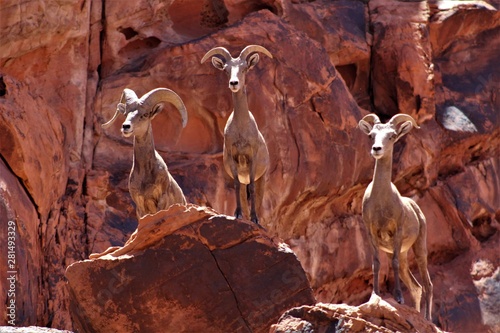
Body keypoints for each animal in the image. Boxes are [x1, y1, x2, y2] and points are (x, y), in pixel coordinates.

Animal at [101, 87, 188, 219]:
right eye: (126, 114)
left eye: (145, 115)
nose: (126, 126)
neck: (145, 174)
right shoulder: (140, 206)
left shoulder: (162, 200)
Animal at [200, 44, 274, 223]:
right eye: (226, 70)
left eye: (244, 68)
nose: (234, 83)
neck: (241, 130)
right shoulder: (233, 160)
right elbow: (235, 185)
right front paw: (237, 214)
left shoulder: (252, 159)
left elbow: (252, 188)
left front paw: (254, 219)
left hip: (262, 179)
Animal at [360, 113, 434, 320]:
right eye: (371, 135)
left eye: (392, 136)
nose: (376, 149)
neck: (381, 202)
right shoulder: (371, 232)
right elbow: (376, 264)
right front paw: (375, 295)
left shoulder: (397, 232)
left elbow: (390, 264)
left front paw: (399, 298)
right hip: (403, 256)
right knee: (416, 287)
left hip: (419, 249)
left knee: (427, 285)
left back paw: (428, 319)